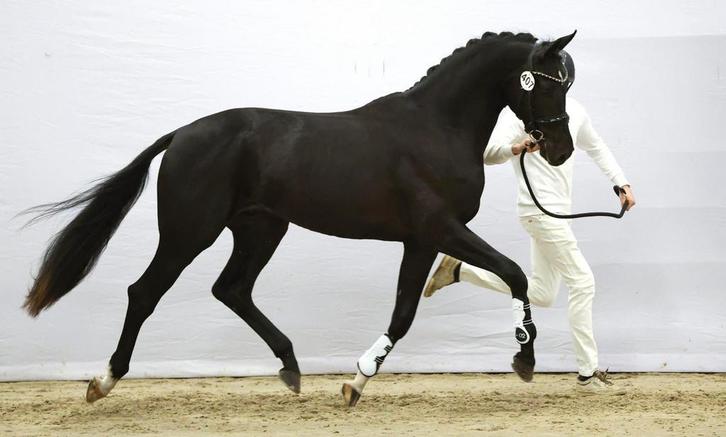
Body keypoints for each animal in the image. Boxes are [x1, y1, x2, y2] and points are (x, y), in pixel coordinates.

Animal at [23, 30, 577, 407]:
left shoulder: (419, 241)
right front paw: (525, 360)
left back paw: (291, 367)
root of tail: (181, 134)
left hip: (261, 229)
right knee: (145, 293)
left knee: (231, 289)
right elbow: (513, 273)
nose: (561, 149)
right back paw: (102, 381)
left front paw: (354, 383)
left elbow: (403, 313)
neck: (436, 127)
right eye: (551, 85)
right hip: (189, 233)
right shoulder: (439, 230)